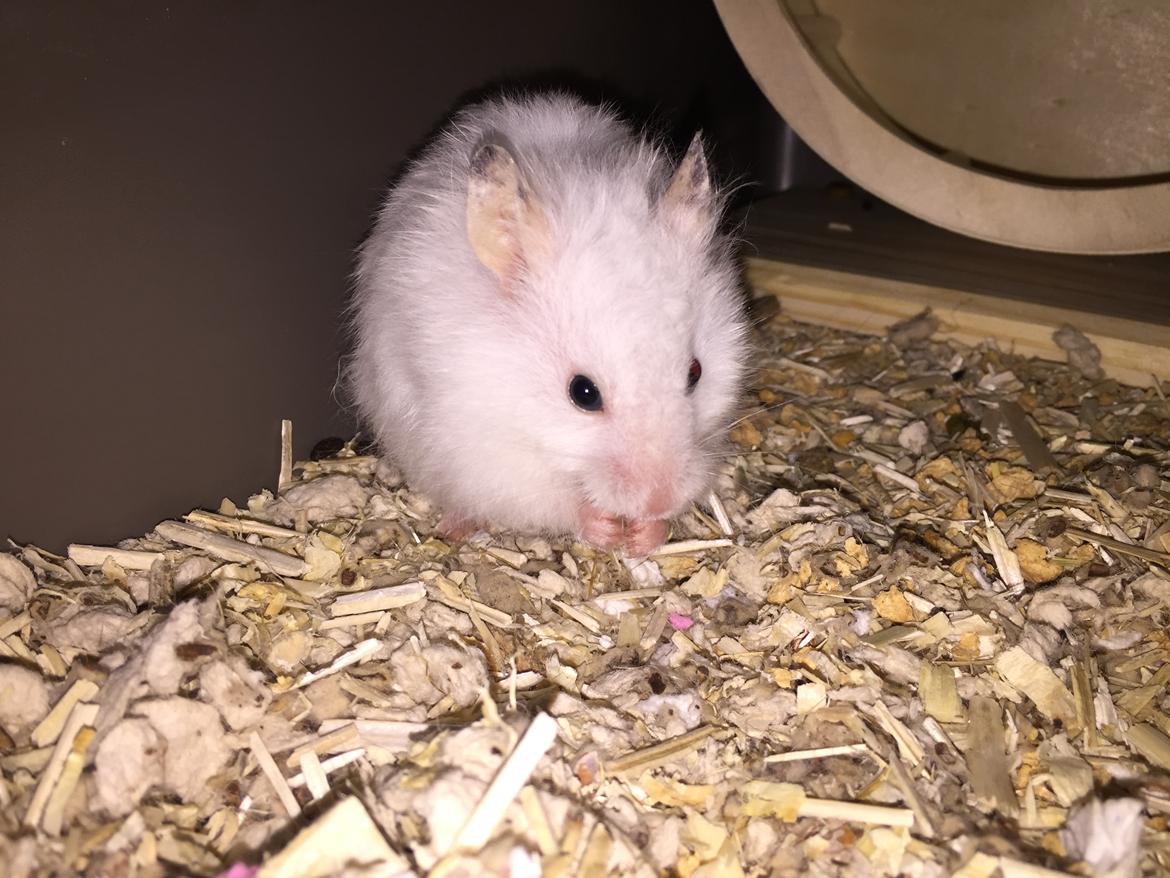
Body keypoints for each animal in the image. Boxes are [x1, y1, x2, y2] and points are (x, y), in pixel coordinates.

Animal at [349, 93, 749, 556]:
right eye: (583, 393)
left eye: (695, 373)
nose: (658, 500)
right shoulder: (486, 453)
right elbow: (554, 500)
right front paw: (609, 528)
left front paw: (645, 535)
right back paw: (455, 527)